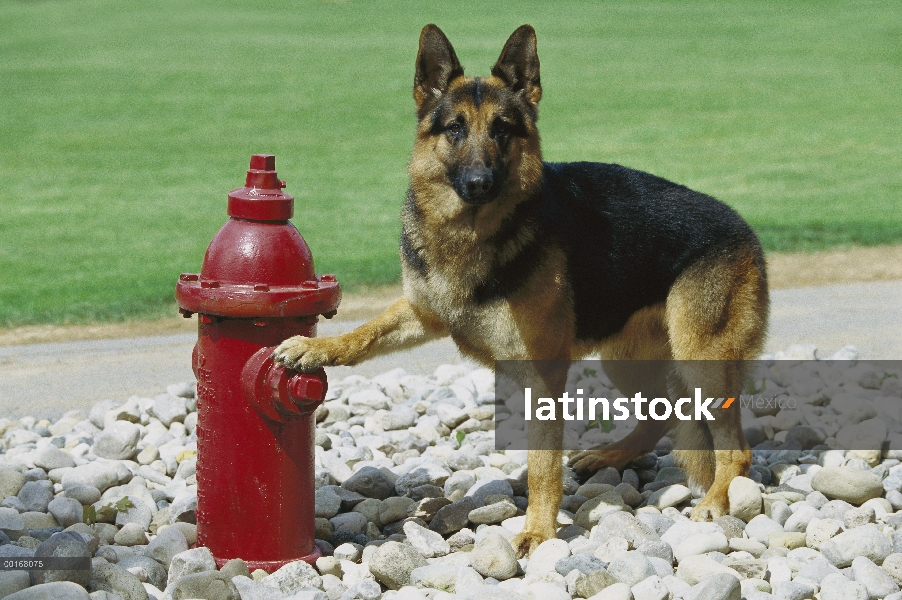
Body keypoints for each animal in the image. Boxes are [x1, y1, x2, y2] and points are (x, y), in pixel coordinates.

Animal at [272, 24, 768, 556]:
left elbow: (542, 465)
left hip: (700, 361)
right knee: (661, 415)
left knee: (735, 450)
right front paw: (314, 347)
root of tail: (742, 225)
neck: (470, 235)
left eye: (502, 130)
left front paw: (538, 531)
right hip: (626, 360)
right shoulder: (423, 313)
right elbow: (363, 334)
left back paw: (715, 501)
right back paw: (612, 456)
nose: (478, 182)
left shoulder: (543, 377)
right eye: (455, 129)